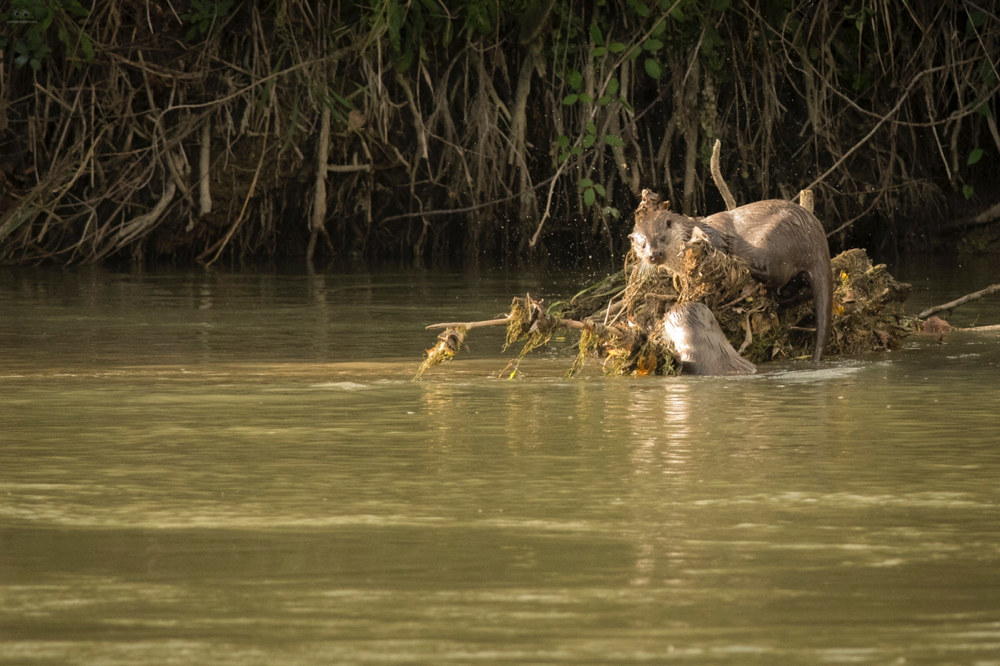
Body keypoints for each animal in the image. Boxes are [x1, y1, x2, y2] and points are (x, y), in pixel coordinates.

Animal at [632, 187, 836, 364]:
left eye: (662, 238)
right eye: (642, 245)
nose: (654, 254)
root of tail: (813, 236)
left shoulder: (713, 239)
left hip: (774, 241)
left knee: (776, 275)